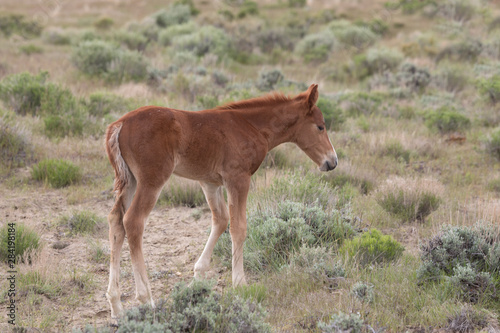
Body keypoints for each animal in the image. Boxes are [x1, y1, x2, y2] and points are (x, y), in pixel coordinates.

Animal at [103, 83, 338, 316]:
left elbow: (221, 220)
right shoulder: (238, 179)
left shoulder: (210, 183)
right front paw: (240, 283)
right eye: (320, 126)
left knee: (116, 220)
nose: (332, 161)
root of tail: (119, 124)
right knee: (133, 221)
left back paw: (116, 305)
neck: (252, 126)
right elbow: (238, 227)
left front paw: (197, 277)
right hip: (152, 179)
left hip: (130, 181)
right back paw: (146, 299)